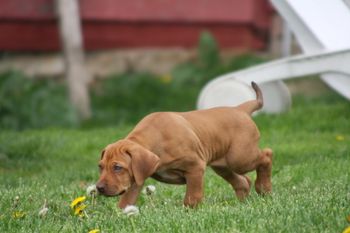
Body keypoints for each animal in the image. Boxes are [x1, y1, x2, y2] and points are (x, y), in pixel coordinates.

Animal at [97, 81, 272, 208]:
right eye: (100, 166)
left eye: (117, 167)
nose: (99, 188)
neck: (156, 140)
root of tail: (240, 109)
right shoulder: (136, 178)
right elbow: (126, 201)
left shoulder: (195, 168)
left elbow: (191, 198)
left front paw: (190, 212)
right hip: (222, 165)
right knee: (242, 181)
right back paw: (243, 202)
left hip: (240, 158)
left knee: (266, 155)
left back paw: (264, 187)